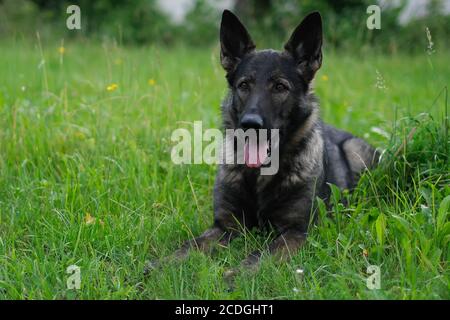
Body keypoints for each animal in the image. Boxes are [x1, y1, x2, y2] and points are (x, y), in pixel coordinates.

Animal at [146, 10, 378, 280]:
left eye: (280, 87)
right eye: (244, 85)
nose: (250, 124)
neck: (259, 175)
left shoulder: (295, 232)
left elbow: (262, 255)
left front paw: (234, 276)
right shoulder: (225, 226)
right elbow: (190, 245)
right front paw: (162, 265)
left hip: (354, 151)